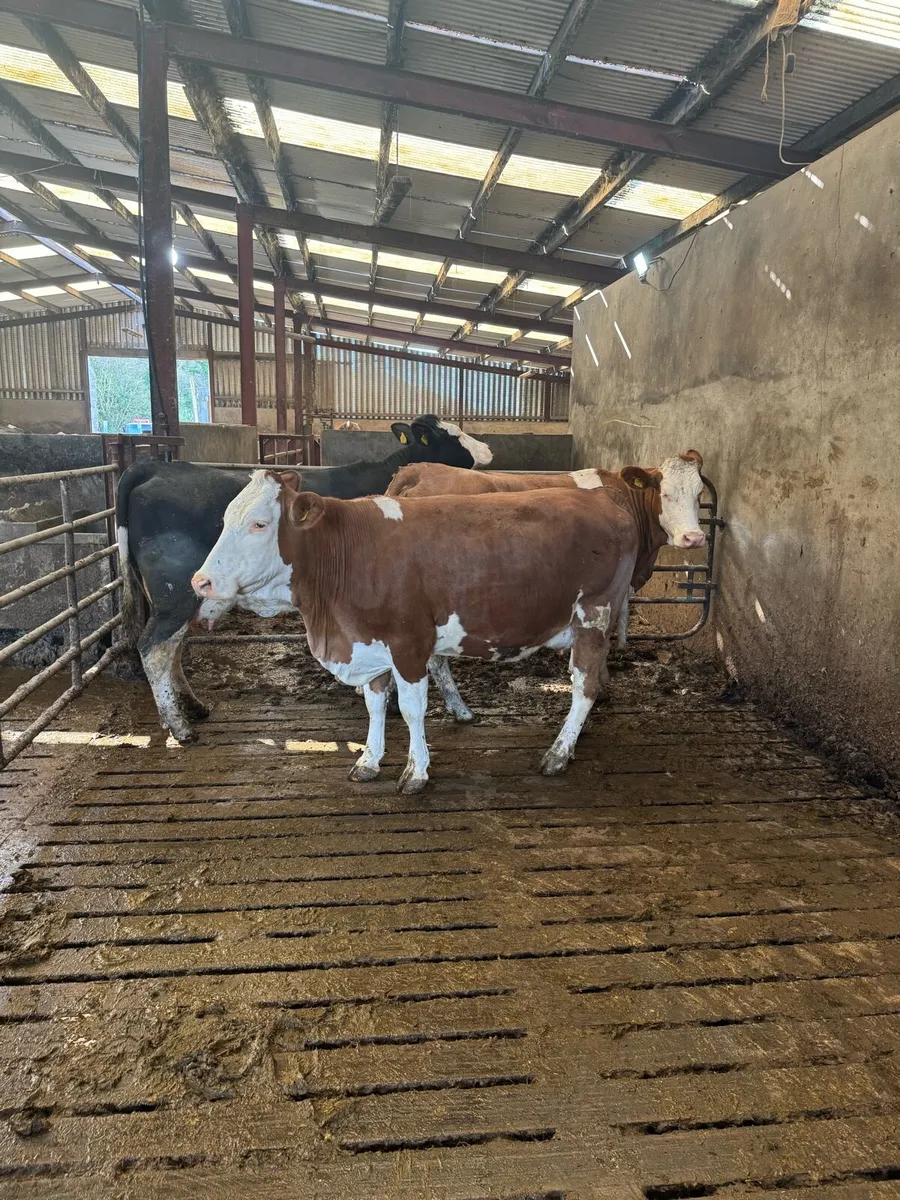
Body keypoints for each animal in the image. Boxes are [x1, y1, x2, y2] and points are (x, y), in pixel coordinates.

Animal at [116, 415, 492, 743]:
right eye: (451, 433)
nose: (488, 449)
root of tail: (156, 467)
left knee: (172, 649)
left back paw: (191, 707)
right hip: (175, 595)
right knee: (154, 649)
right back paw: (179, 726)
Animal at [191, 459, 706, 792]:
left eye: (259, 523)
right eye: (225, 518)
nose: (200, 581)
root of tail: (607, 504)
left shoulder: (408, 642)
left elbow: (411, 709)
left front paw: (416, 772)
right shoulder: (369, 642)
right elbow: (374, 706)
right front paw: (369, 761)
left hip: (593, 617)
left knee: (585, 685)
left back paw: (559, 753)